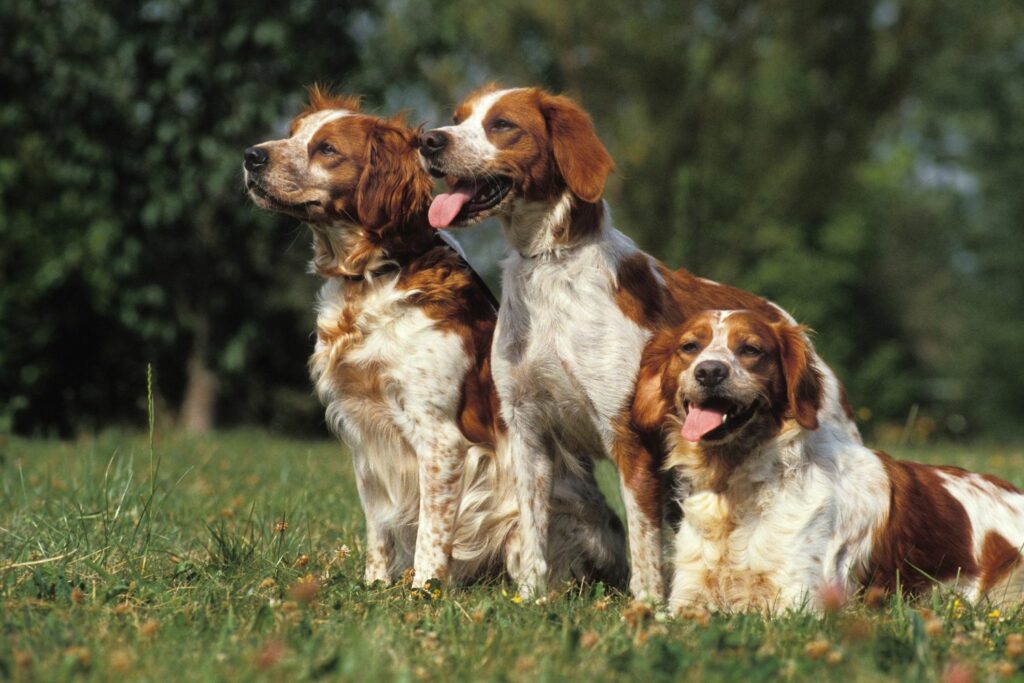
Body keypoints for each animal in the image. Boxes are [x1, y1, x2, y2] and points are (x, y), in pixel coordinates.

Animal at [240, 88, 626, 589]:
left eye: (326, 149)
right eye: (292, 134)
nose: (251, 156)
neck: (374, 277)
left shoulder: (439, 437)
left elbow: (432, 529)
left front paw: (422, 589)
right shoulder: (364, 435)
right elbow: (378, 529)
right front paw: (375, 585)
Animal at [419, 83, 860, 598]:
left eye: (503, 125)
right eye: (458, 118)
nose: (428, 141)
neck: (551, 265)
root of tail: (789, 327)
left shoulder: (631, 439)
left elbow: (644, 545)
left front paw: (648, 606)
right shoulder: (528, 434)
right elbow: (532, 535)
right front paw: (531, 598)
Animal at [638, 309, 1024, 614]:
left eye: (751, 349)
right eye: (689, 347)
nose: (709, 371)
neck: (736, 484)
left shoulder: (798, 604)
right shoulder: (688, 598)